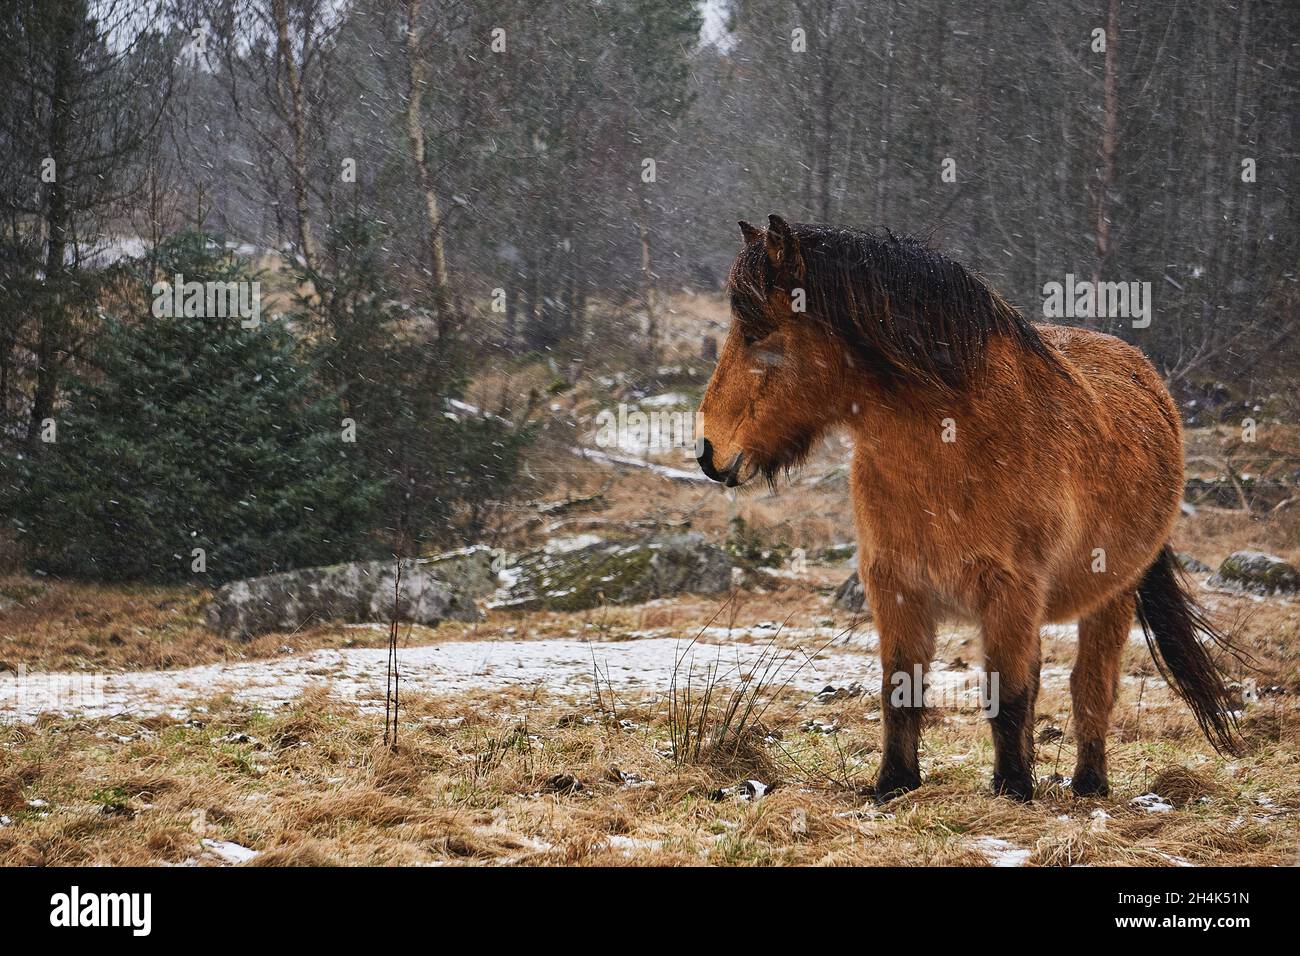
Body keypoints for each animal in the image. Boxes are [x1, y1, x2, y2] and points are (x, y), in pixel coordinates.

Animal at [702, 214, 1237, 801]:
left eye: (758, 335)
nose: (709, 452)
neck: (955, 440)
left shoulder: (1010, 590)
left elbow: (1008, 695)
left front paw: (1013, 789)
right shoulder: (896, 584)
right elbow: (901, 690)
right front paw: (894, 783)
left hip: (1113, 594)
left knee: (1091, 686)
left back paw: (1088, 784)